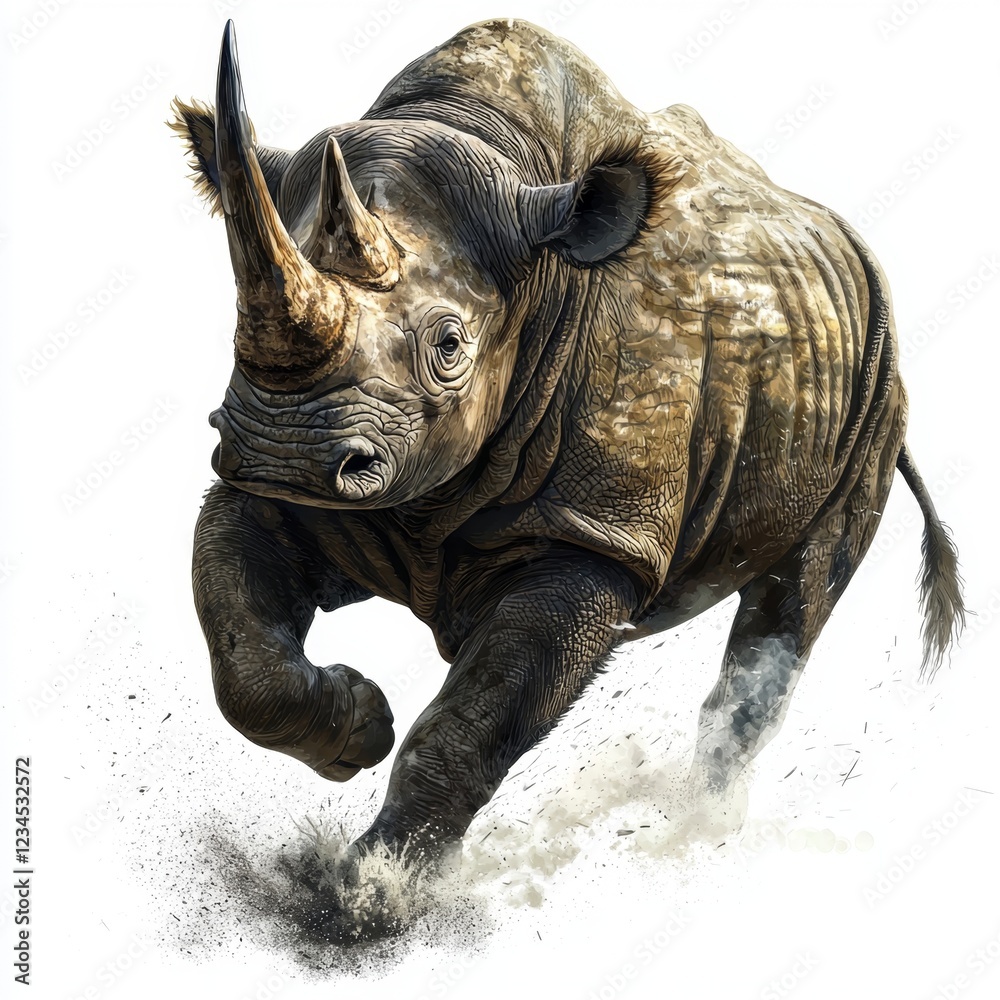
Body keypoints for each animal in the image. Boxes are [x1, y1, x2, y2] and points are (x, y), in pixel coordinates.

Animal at [175, 19, 964, 860]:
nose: (280, 454)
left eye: (450, 345)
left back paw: (695, 834)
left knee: (790, 608)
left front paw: (366, 887)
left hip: (879, 399)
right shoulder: (313, 488)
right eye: (232, 325)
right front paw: (360, 729)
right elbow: (243, 655)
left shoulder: (595, 536)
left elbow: (472, 724)